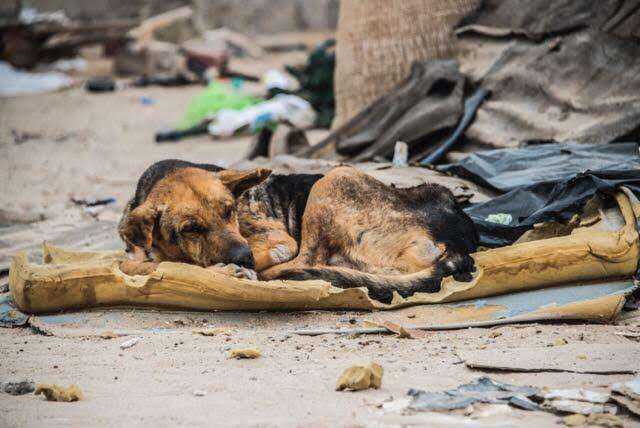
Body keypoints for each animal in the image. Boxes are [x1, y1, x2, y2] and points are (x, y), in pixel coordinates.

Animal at [120, 159, 478, 302]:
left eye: (229, 210)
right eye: (191, 229)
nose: (244, 258)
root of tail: (458, 245)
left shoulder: (279, 240)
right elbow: (142, 261)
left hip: (332, 179)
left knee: (305, 264)